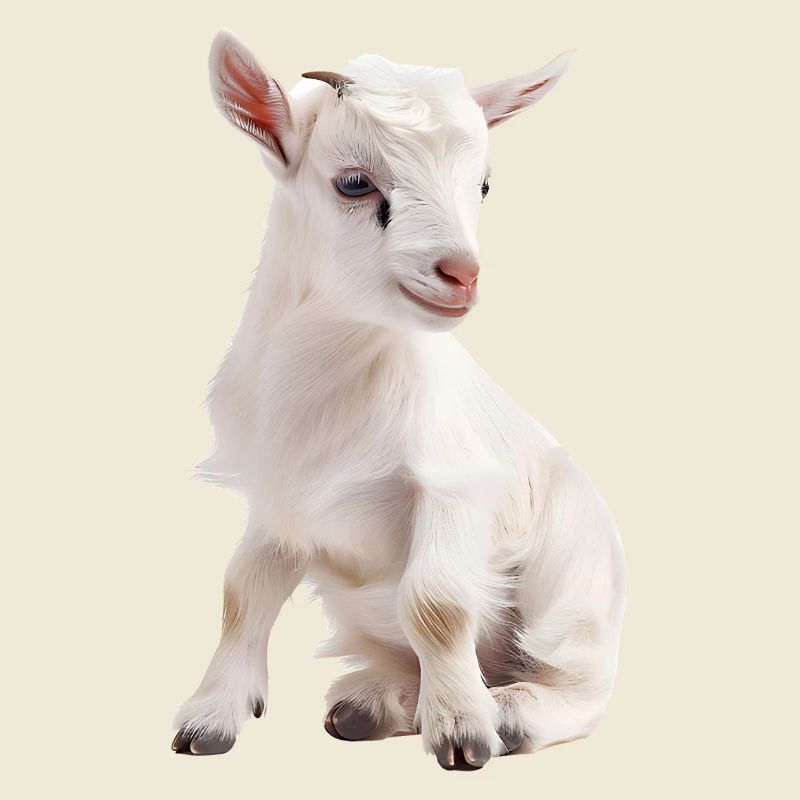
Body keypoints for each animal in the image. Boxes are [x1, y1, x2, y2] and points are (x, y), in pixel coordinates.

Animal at [172, 30, 626, 771]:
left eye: (483, 184)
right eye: (355, 182)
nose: (462, 274)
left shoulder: (451, 486)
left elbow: (436, 604)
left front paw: (465, 731)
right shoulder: (278, 501)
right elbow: (242, 592)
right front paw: (209, 718)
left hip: (574, 582)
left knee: (578, 683)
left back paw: (509, 711)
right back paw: (375, 704)